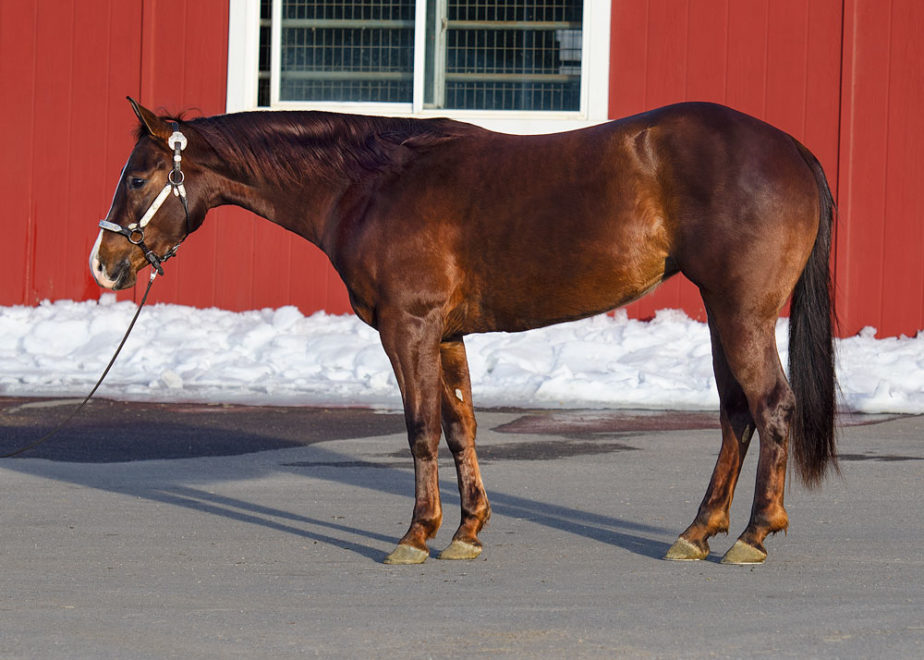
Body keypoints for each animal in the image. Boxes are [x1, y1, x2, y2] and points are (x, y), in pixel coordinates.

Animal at [90, 98, 832, 568]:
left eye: (139, 177)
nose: (104, 264)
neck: (371, 183)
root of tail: (792, 148)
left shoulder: (407, 327)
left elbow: (420, 429)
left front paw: (417, 535)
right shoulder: (446, 336)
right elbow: (459, 427)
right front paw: (469, 530)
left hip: (741, 311)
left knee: (771, 406)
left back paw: (755, 534)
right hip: (721, 311)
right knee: (736, 414)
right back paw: (699, 532)